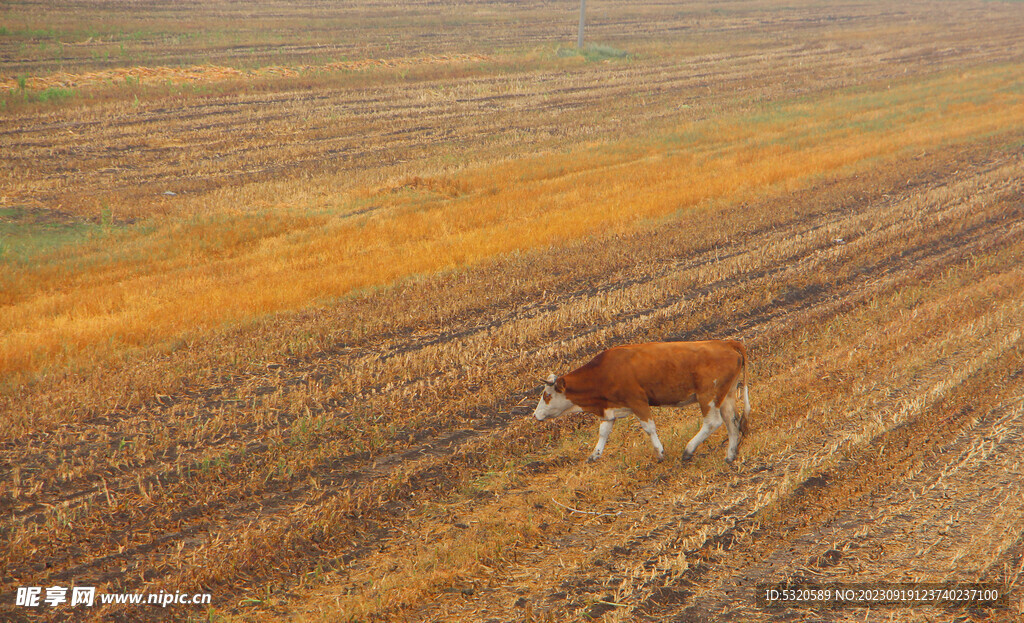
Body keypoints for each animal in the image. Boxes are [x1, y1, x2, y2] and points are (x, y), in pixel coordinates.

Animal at [536, 340, 753, 463]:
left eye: (546, 395)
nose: (535, 414)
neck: (604, 372)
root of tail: (725, 342)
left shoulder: (637, 401)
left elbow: (649, 428)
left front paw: (660, 453)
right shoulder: (609, 409)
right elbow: (603, 432)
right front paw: (594, 455)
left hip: (707, 395)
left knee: (712, 422)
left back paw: (689, 450)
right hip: (726, 393)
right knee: (731, 421)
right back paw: (730, 455)